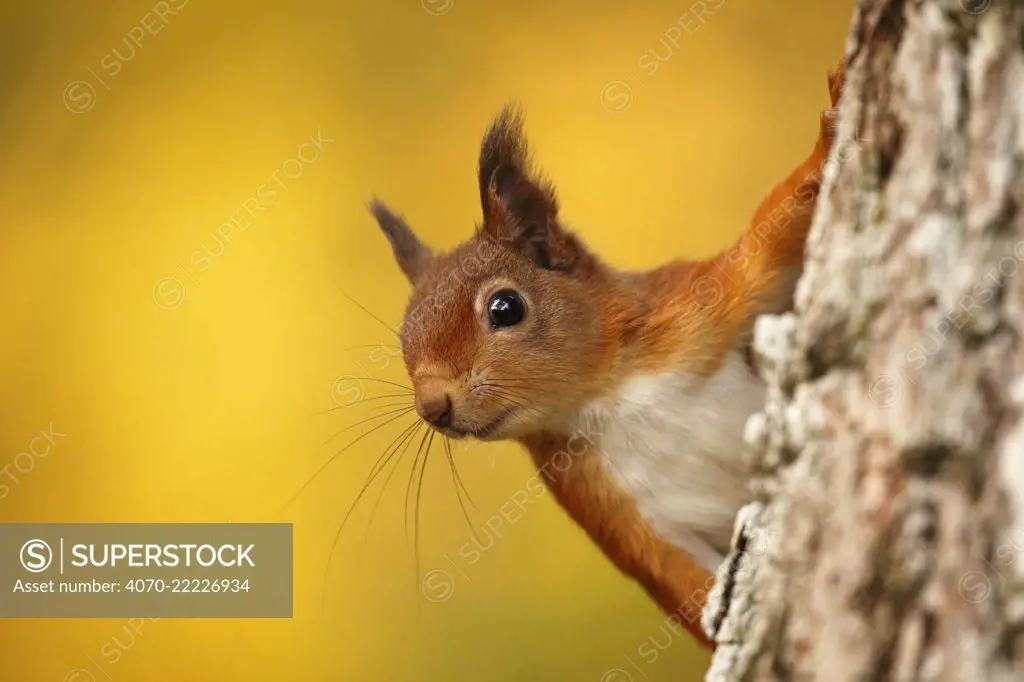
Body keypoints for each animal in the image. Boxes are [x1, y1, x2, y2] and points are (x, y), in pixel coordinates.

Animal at [368, 61, 847, 647]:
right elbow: (676, 577)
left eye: (505, 308)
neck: (607, 396)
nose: (432, 407)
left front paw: (832, 123)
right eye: (402, 339)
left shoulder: (701, 310)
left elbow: (769, 236)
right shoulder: (603, 502)